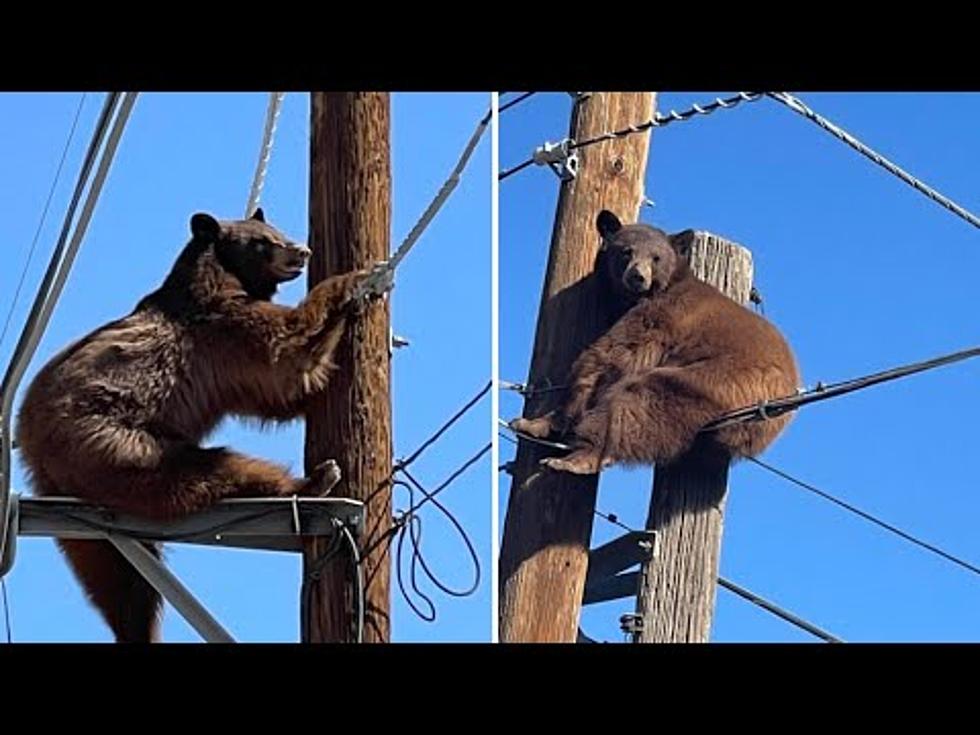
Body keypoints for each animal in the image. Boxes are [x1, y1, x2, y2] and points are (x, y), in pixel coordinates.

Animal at [17, 208, 370, 644]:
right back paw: (313, 481)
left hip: (82, 505)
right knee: (206, 471)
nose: (301, 251)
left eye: (276, 230)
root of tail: (31, 441)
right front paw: (355, 281)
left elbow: (277, 396)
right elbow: (285, 352)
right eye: (262, 242)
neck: (220, 275)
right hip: (116, 443)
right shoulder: (220, 327)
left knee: (115, 576)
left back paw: (136, 628)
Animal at [510, 208, 800, 478]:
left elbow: (612, 355)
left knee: (640, 400)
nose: (637, 277)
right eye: (626, 251)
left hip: (723, 380)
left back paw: (578, 458)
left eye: (656, 257)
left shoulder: (661, 316)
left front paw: (538, 422)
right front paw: (531, 424)